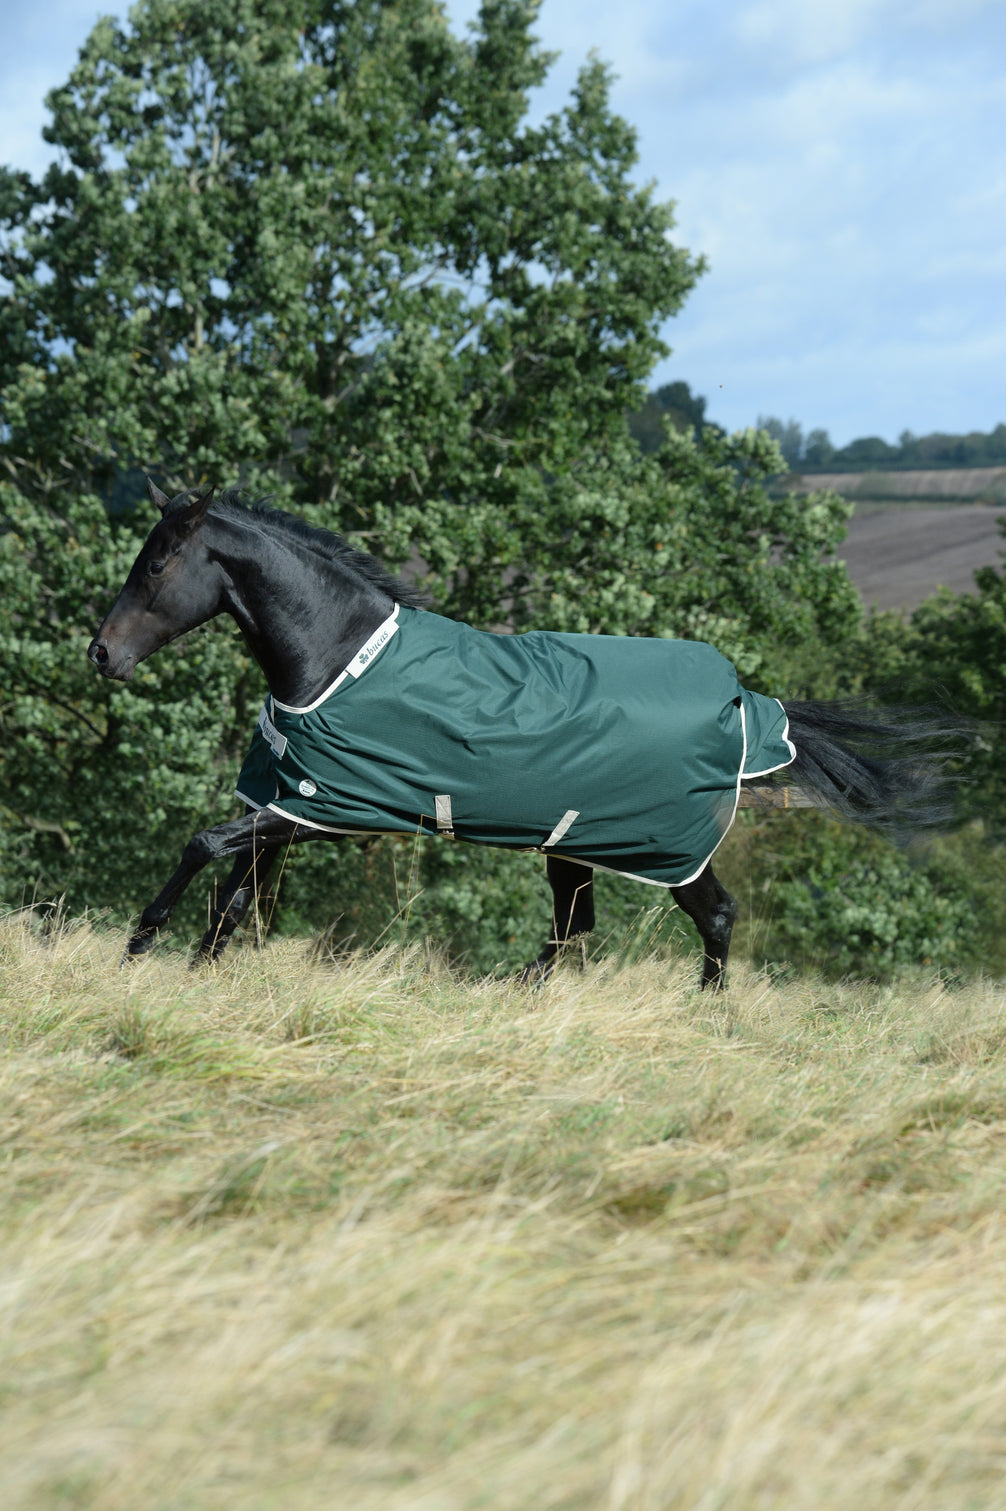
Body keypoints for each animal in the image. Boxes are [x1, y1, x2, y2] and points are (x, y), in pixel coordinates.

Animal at [87, 481, 956, 988]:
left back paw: (703, 1013)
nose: (101, 653)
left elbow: (203, 846)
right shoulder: (290, 805)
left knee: (713, 916)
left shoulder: (321, 809)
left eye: (157, 565)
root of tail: (745, 701)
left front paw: (138, 946)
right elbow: (234, 899)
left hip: (662, 847)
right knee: (576, 927)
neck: (336, 657)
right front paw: (197, 973)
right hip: (574, 843)